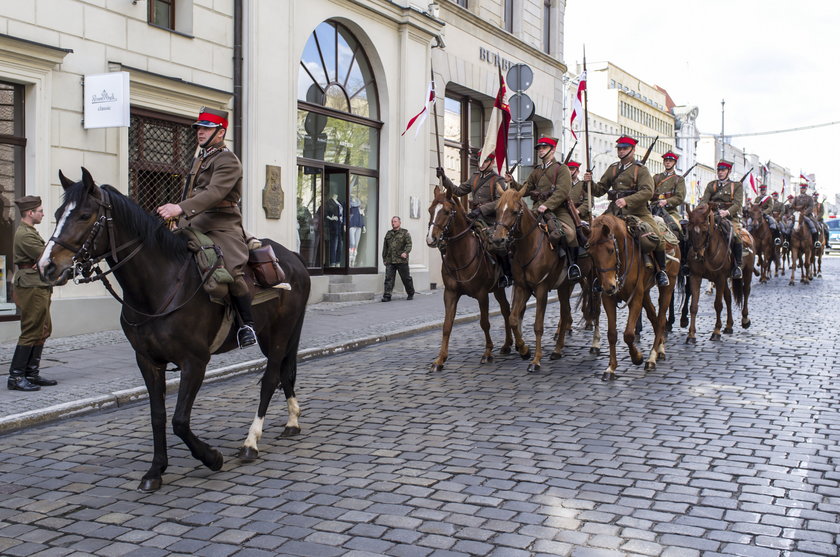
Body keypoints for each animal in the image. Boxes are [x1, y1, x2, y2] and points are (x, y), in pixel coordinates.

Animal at [38, 169, 308, 490]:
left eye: (84, 215)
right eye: (57, 214)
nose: (46, 266)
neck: (158, 287)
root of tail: (291, 256)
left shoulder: (195, 362)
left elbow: (179, 420)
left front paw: (211, 457)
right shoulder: (147, 360)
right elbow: (158, 415)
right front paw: (156, 470)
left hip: (279, 334)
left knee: (270, 379)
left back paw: (251, 442)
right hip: (274, 335)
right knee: (284, 372)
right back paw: (292, 421)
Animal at [426, 185, 512, 372]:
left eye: (446, 211)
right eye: (430, 210)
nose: (431, 238)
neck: (461, 254)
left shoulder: (482, 294)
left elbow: (484, 323)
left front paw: (487, 353)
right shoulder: (450, 294)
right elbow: (447, 325)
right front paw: (440, 360)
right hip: (498, 289)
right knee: (506, 310)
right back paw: (508, 344)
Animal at [486, 188, 584, 374]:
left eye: (514, 212)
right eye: (497, 210)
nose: (497, 240)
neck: (529, 246)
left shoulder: (541, 289)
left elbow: (538, 326)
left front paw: (536, 360)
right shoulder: (522, 287)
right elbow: (513, 318)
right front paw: (524, 350)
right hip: (564, 286)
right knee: (565, 313)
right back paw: (557, 350)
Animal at [588, 212, 680, 378]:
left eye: (611, 250)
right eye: (591, 254)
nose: (609, 286)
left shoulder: (636, 297)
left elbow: (629, 334)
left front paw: (637, 357)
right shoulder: (608, 298)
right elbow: (612, 333)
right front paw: (611, 367)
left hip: (668, 288)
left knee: (661, 320)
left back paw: (651, 358)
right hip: (646, 293)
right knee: (653, 316)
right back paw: (659, 349)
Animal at [684, 203, 756, 340]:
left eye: (705, 230)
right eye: (689, 229)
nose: (697, 255)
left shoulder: (720, 278)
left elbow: (718, 304)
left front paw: (716, 331)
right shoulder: (695, 276)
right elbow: (693, 306)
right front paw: (691, 335)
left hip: (747, 271)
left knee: (746, 291)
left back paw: (745, 320)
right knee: (728, 297)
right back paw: (728, 326)